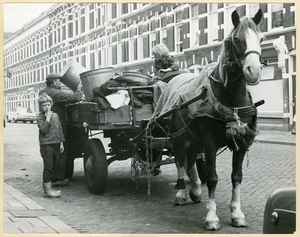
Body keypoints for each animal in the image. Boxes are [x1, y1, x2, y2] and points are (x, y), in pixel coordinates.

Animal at [154, 8, 264, 230]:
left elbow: (237, 177)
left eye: (261, 38)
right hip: (178, 137)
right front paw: (212, 217)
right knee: (180, 161)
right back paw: (181, 193)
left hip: (193, 137)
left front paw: (237, 213)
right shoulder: (210, 141)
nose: (254, 70)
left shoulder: (241, 141)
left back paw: (196, 190)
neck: (230, 100)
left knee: (190, 160)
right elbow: (213, 178)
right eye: (236, 39)